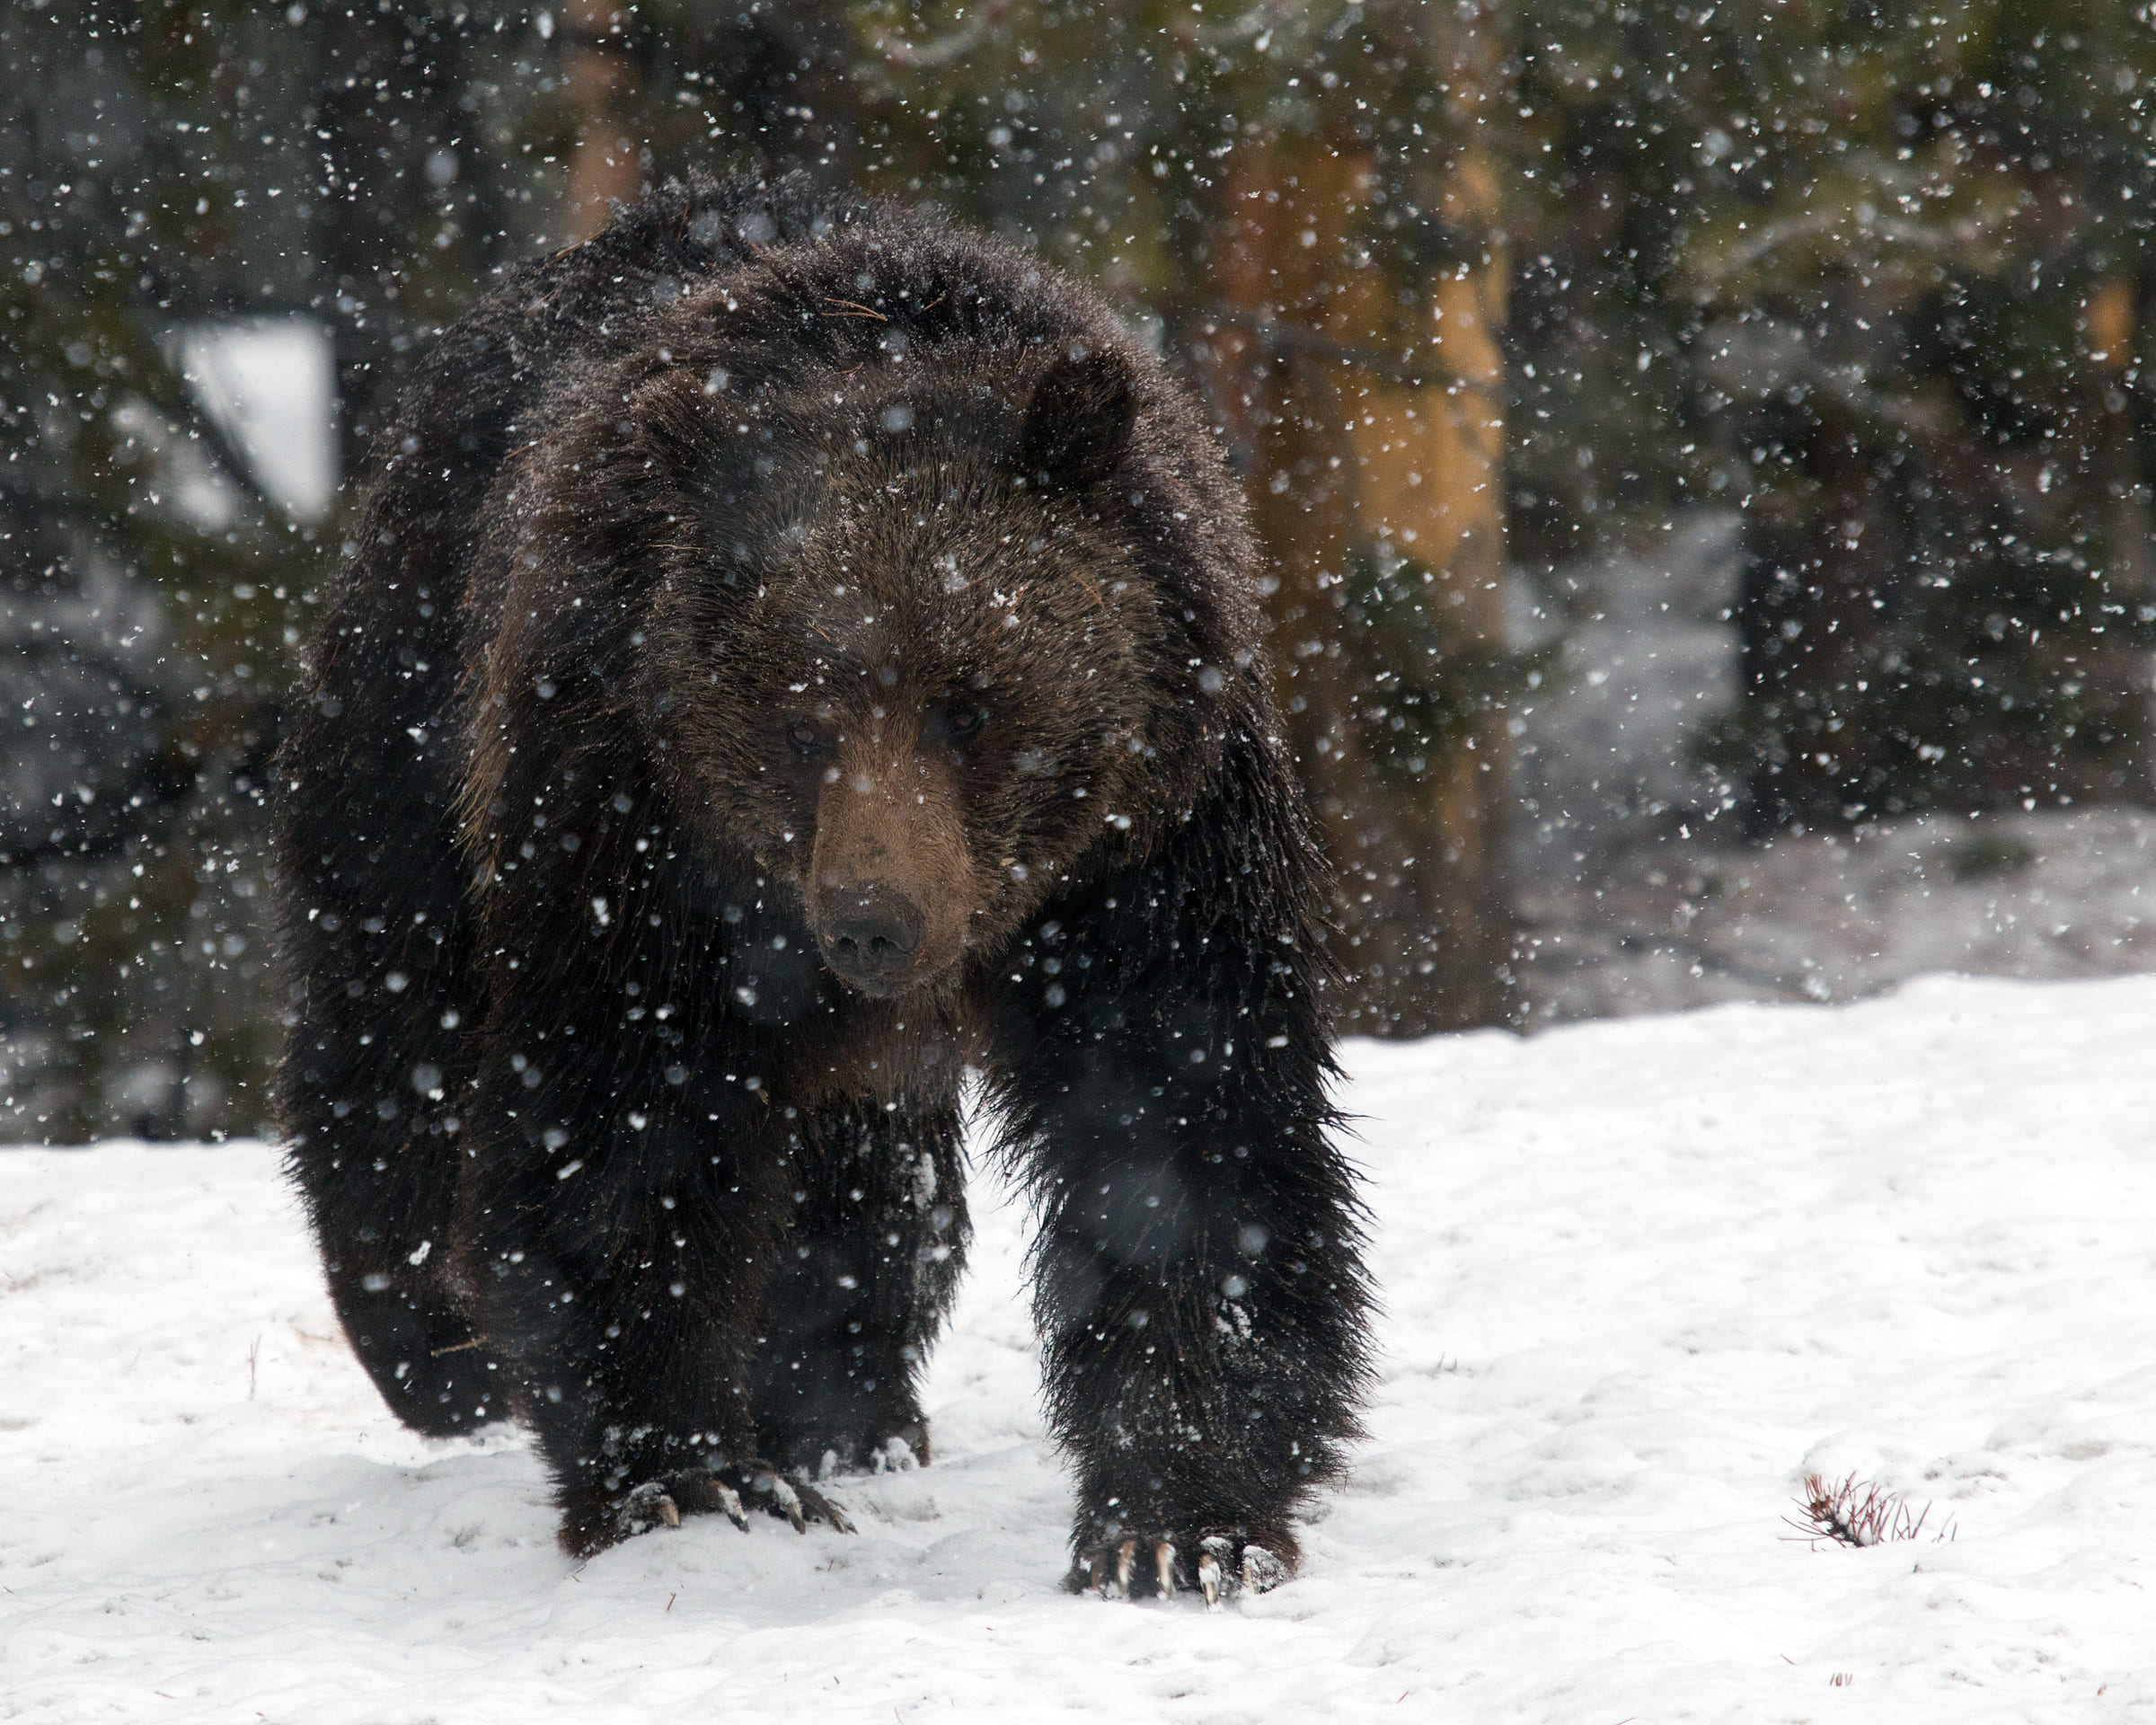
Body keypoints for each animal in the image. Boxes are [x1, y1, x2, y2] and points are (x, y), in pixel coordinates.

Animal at [278, 168, 1371, 1596]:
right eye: (800, 722)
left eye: (969, 704)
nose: (872, 923)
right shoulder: (633, 820)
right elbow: (627, 1129)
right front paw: (690, 1477)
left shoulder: (1151, 843)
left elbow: (1188, 1135)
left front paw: (1179, 1521)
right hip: (417, 714)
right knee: (395, 1024)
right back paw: (435, 1344)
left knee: (863, 1182)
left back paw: (844, 1408)